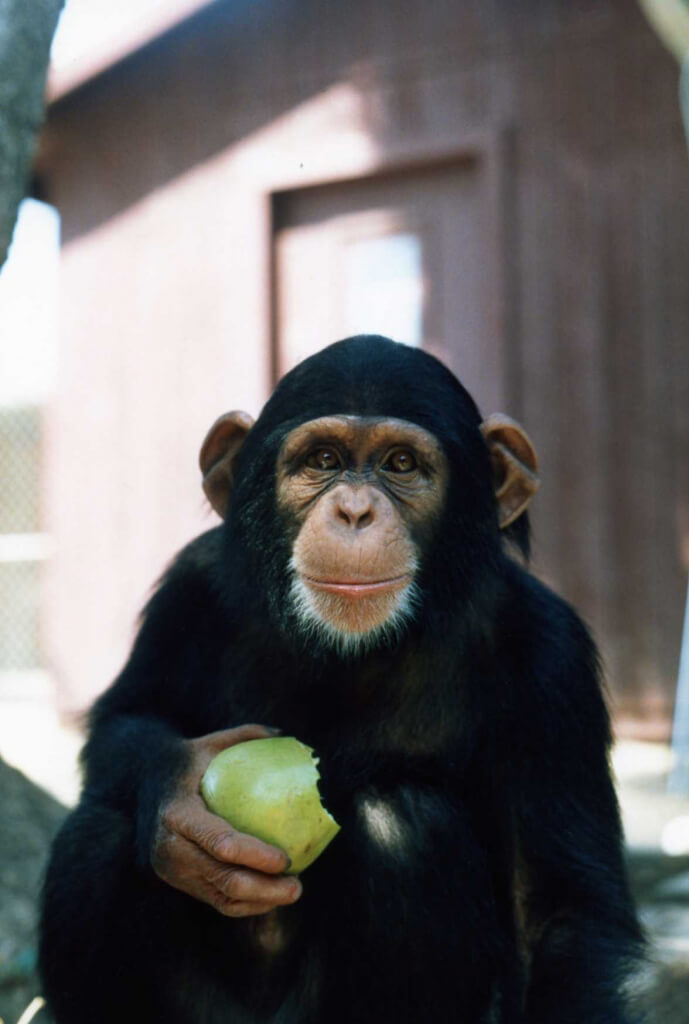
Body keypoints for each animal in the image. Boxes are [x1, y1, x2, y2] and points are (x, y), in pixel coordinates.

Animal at [40, 337, 642, 1024]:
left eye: (401, 463)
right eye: (323, 460)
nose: (355, 510)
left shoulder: (549, 655)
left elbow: (558, 915)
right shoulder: (191, 586)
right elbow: (128, 716)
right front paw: (176, 804)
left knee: (401, 827)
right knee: (100, 831)